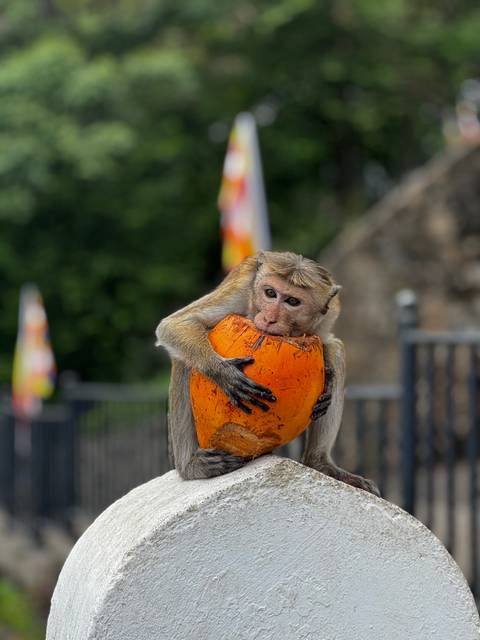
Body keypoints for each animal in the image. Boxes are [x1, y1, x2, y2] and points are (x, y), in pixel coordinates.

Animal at [155, 250, 379, 496]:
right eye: (270, 293)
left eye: (292, 301)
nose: (270, 318)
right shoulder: (241, 288)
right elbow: (174, 325)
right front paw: (224, 373)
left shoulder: (327, 315)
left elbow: (328, 342)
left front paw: (328, 384)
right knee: (182, 360)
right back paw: (190, 467)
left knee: (338, 350)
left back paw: (319, 463)